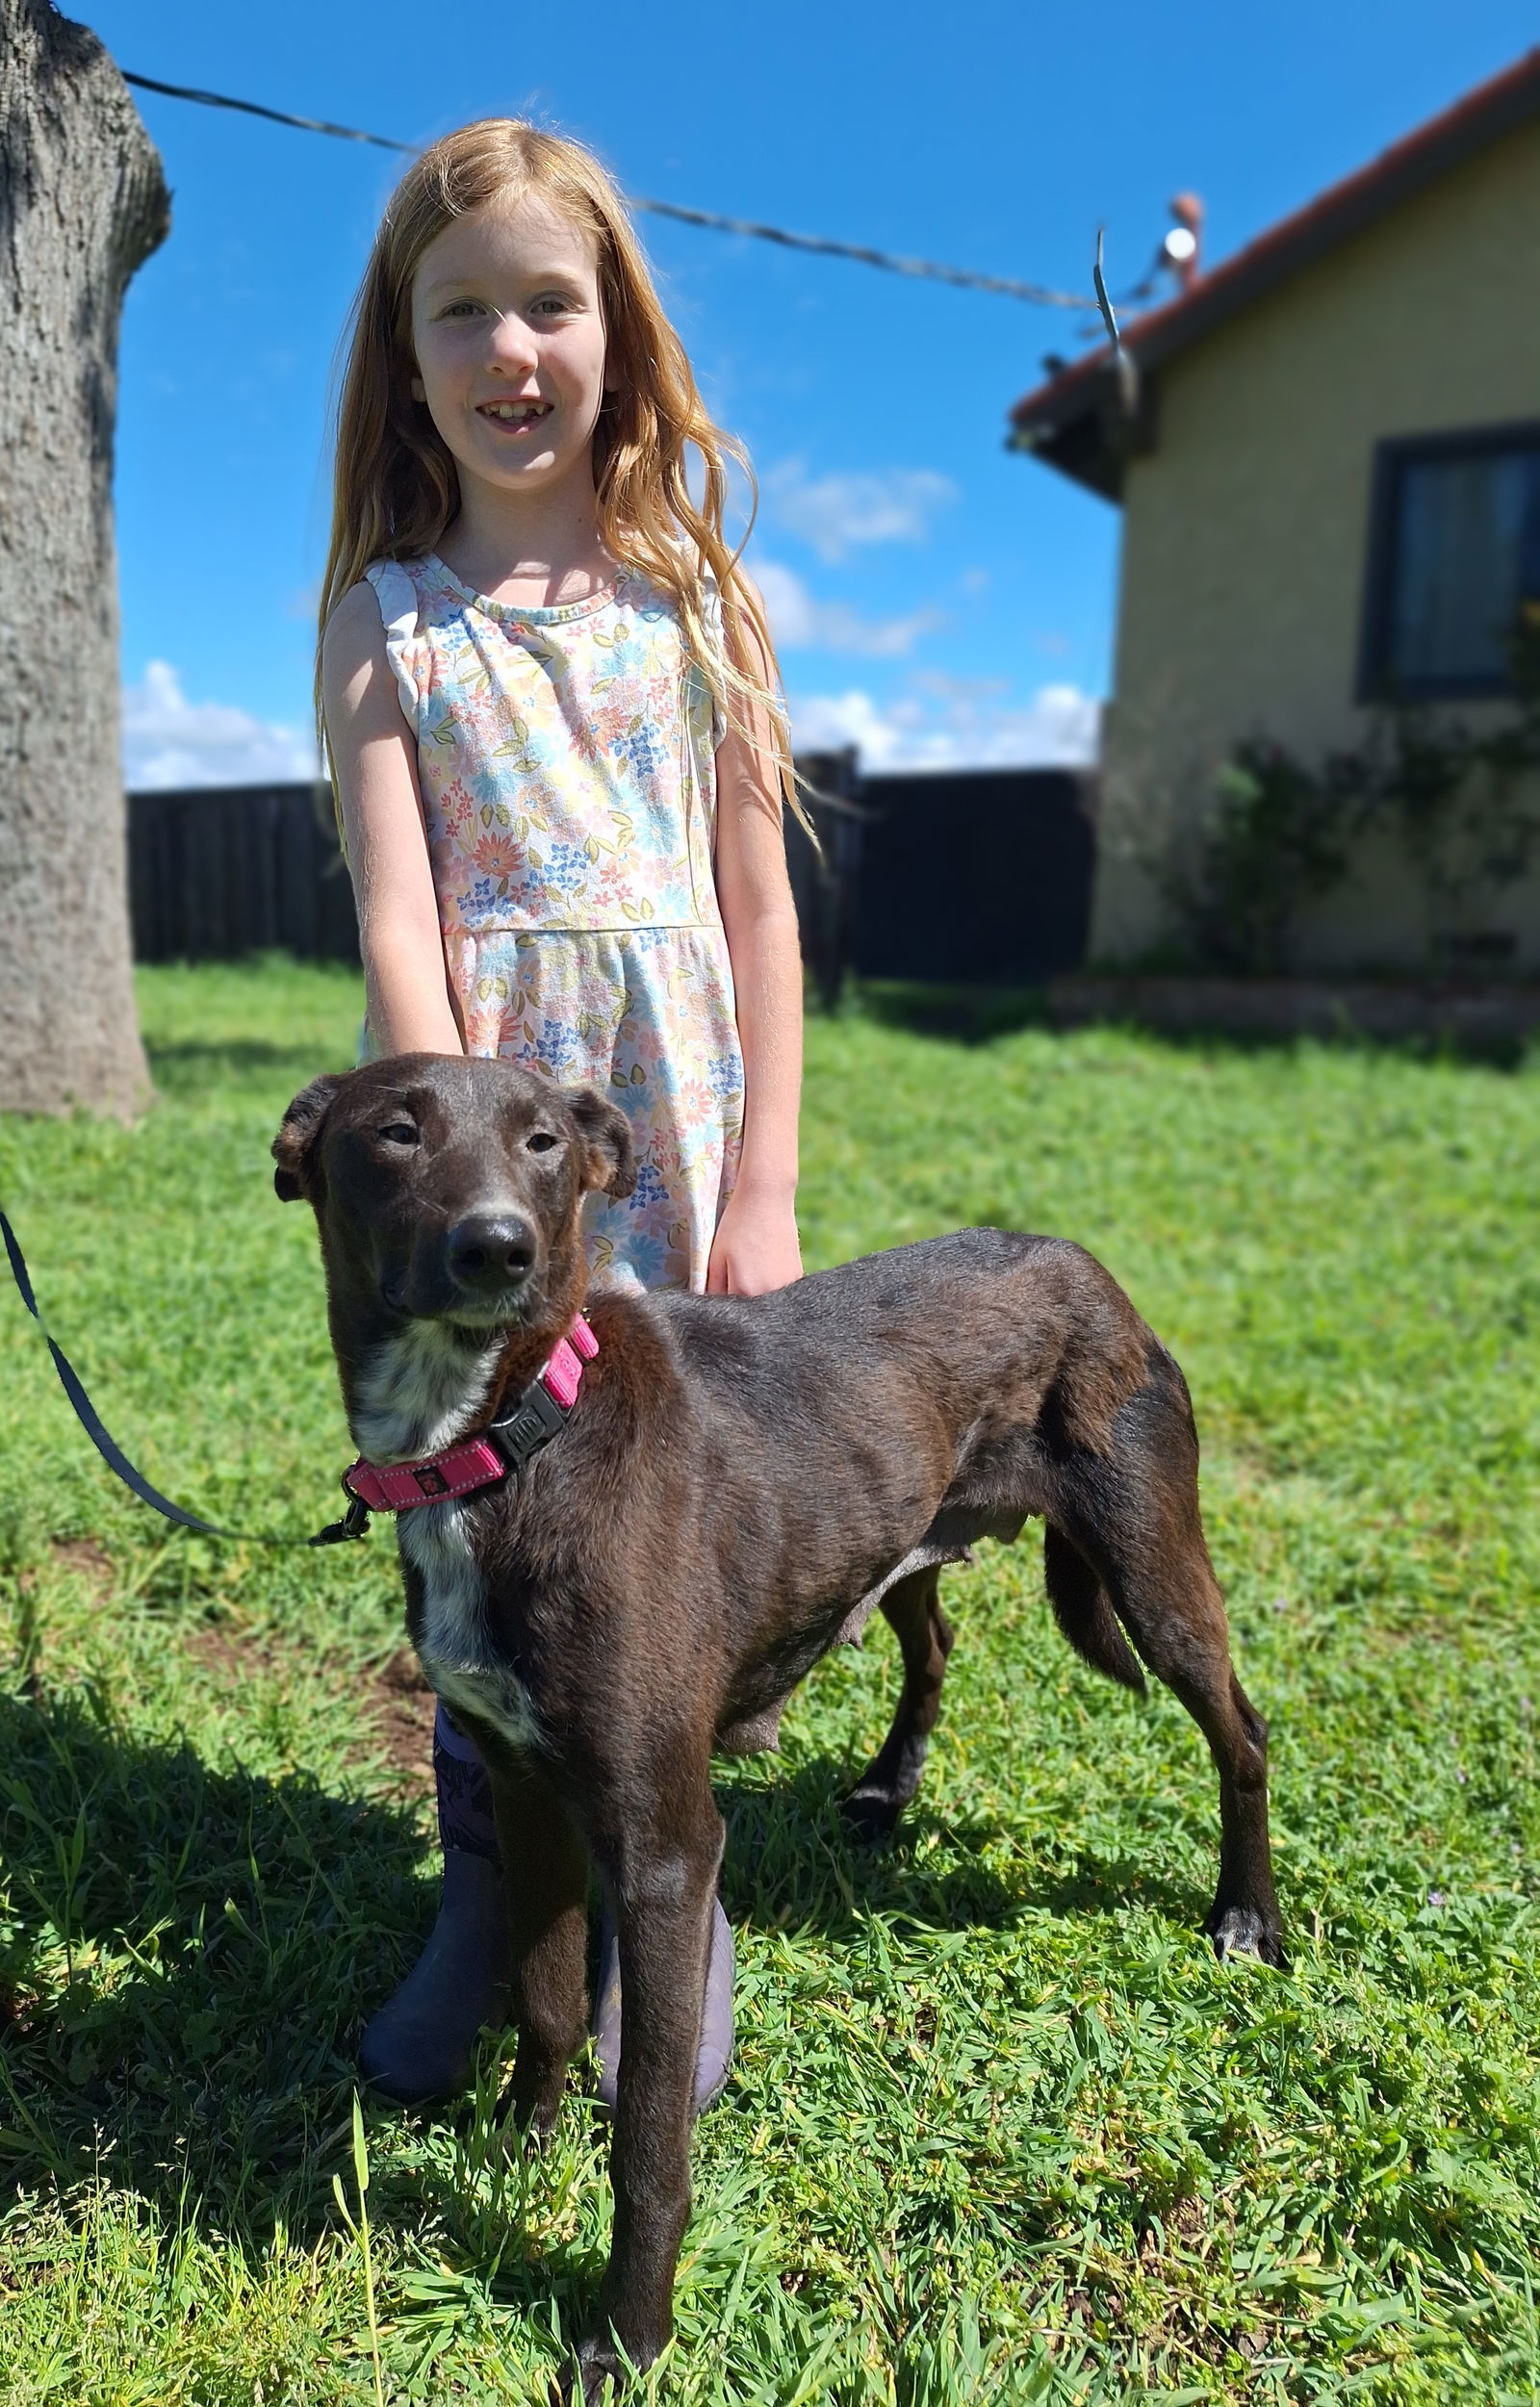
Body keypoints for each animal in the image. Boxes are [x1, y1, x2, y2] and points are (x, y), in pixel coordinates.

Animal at [276, 1054, 1290, 2387]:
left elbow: (649, 2138)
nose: (497, 1246)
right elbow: (543, 1999)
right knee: (934, 1644)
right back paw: (887, 1786)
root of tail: (1083, 1260)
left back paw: (1246, 1916)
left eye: (544, 1143)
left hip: (1150, 1562)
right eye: (397, 1131)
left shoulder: (662, 1846)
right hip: (905, 1538)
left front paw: (627, 2335)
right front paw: (518, 2145)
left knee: (1242, 1730)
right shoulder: (524, 1781)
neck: (511, 1437)